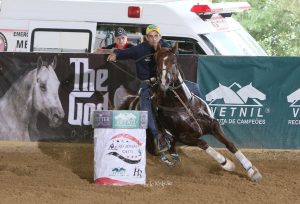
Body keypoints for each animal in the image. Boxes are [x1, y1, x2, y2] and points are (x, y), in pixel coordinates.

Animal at [151, 43, 262, 182]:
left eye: (174, 61)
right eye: (156, 62)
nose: (164, 81)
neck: (184, 106)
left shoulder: (213, 125)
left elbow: (230, 144)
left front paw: (251, 170)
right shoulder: (184, 137)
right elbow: (203, 143)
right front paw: (227, 164)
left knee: (172, 149)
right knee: (169, 148)